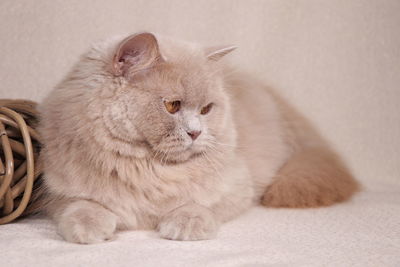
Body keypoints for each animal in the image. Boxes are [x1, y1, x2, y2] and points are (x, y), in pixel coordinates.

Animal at [39, 31, 358, 245]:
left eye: (206, 109)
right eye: (172, 106)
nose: (196, 132)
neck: (149, 168)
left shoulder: (238, 187)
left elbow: (199, 203)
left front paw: (184, 225)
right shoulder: (58, 192)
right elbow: (82, 206)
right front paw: (88, 228)